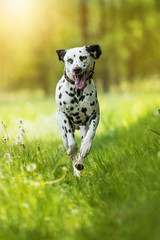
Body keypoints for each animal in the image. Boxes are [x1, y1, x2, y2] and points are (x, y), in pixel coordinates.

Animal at [55, 45, 102, 176]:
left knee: (83, 143)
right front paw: (72, 150)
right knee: (71, 150)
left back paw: (80, 162)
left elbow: (90, 134)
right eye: (69, 60)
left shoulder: (95, 115)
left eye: (83, 57)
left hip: (83, 129)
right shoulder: (65, 116)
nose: (77, 69)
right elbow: (72, 144)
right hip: (63, 133)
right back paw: (76, 171)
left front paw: (85, 148)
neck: (77, 91)